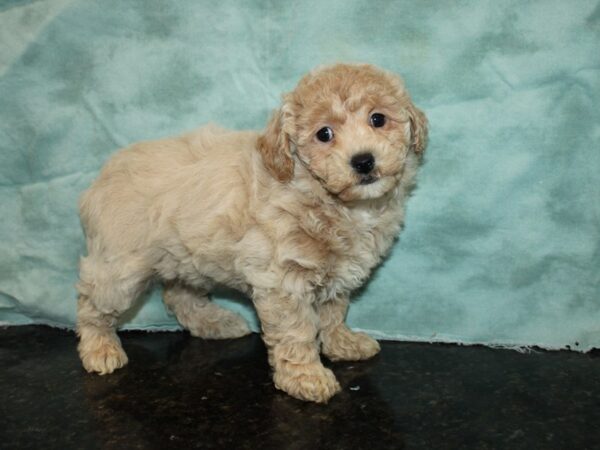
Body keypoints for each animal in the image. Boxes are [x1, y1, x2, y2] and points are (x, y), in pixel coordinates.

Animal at [77, 62, 428, 400]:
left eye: (378, 119)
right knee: (91, 301)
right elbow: (297, 330)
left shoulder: (336, 272)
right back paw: (99, 348)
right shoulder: (284, 281)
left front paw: (342, 343)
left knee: (178, 294)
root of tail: (102, 177)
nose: (363, 161)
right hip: (120, 268)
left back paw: (216, 323)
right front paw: (306, 377)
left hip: (187, 255)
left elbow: (332, 312)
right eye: (324, 134)